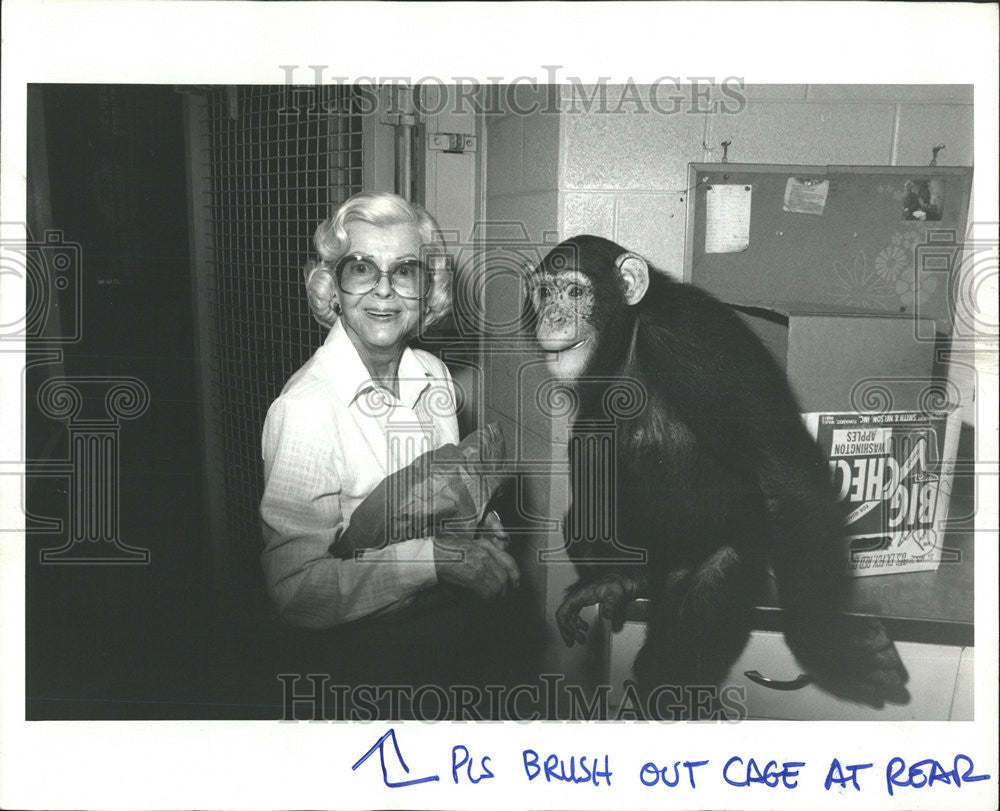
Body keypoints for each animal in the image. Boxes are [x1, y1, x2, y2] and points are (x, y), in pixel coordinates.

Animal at [528, 233, 912, 716]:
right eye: (544, 293)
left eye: (576, 292)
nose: (552, 317)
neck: (632, 335)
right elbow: (590, 441)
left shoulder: (698, 340)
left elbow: (786, 473)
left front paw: (827, 645)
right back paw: (624, 579)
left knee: (703, 599)